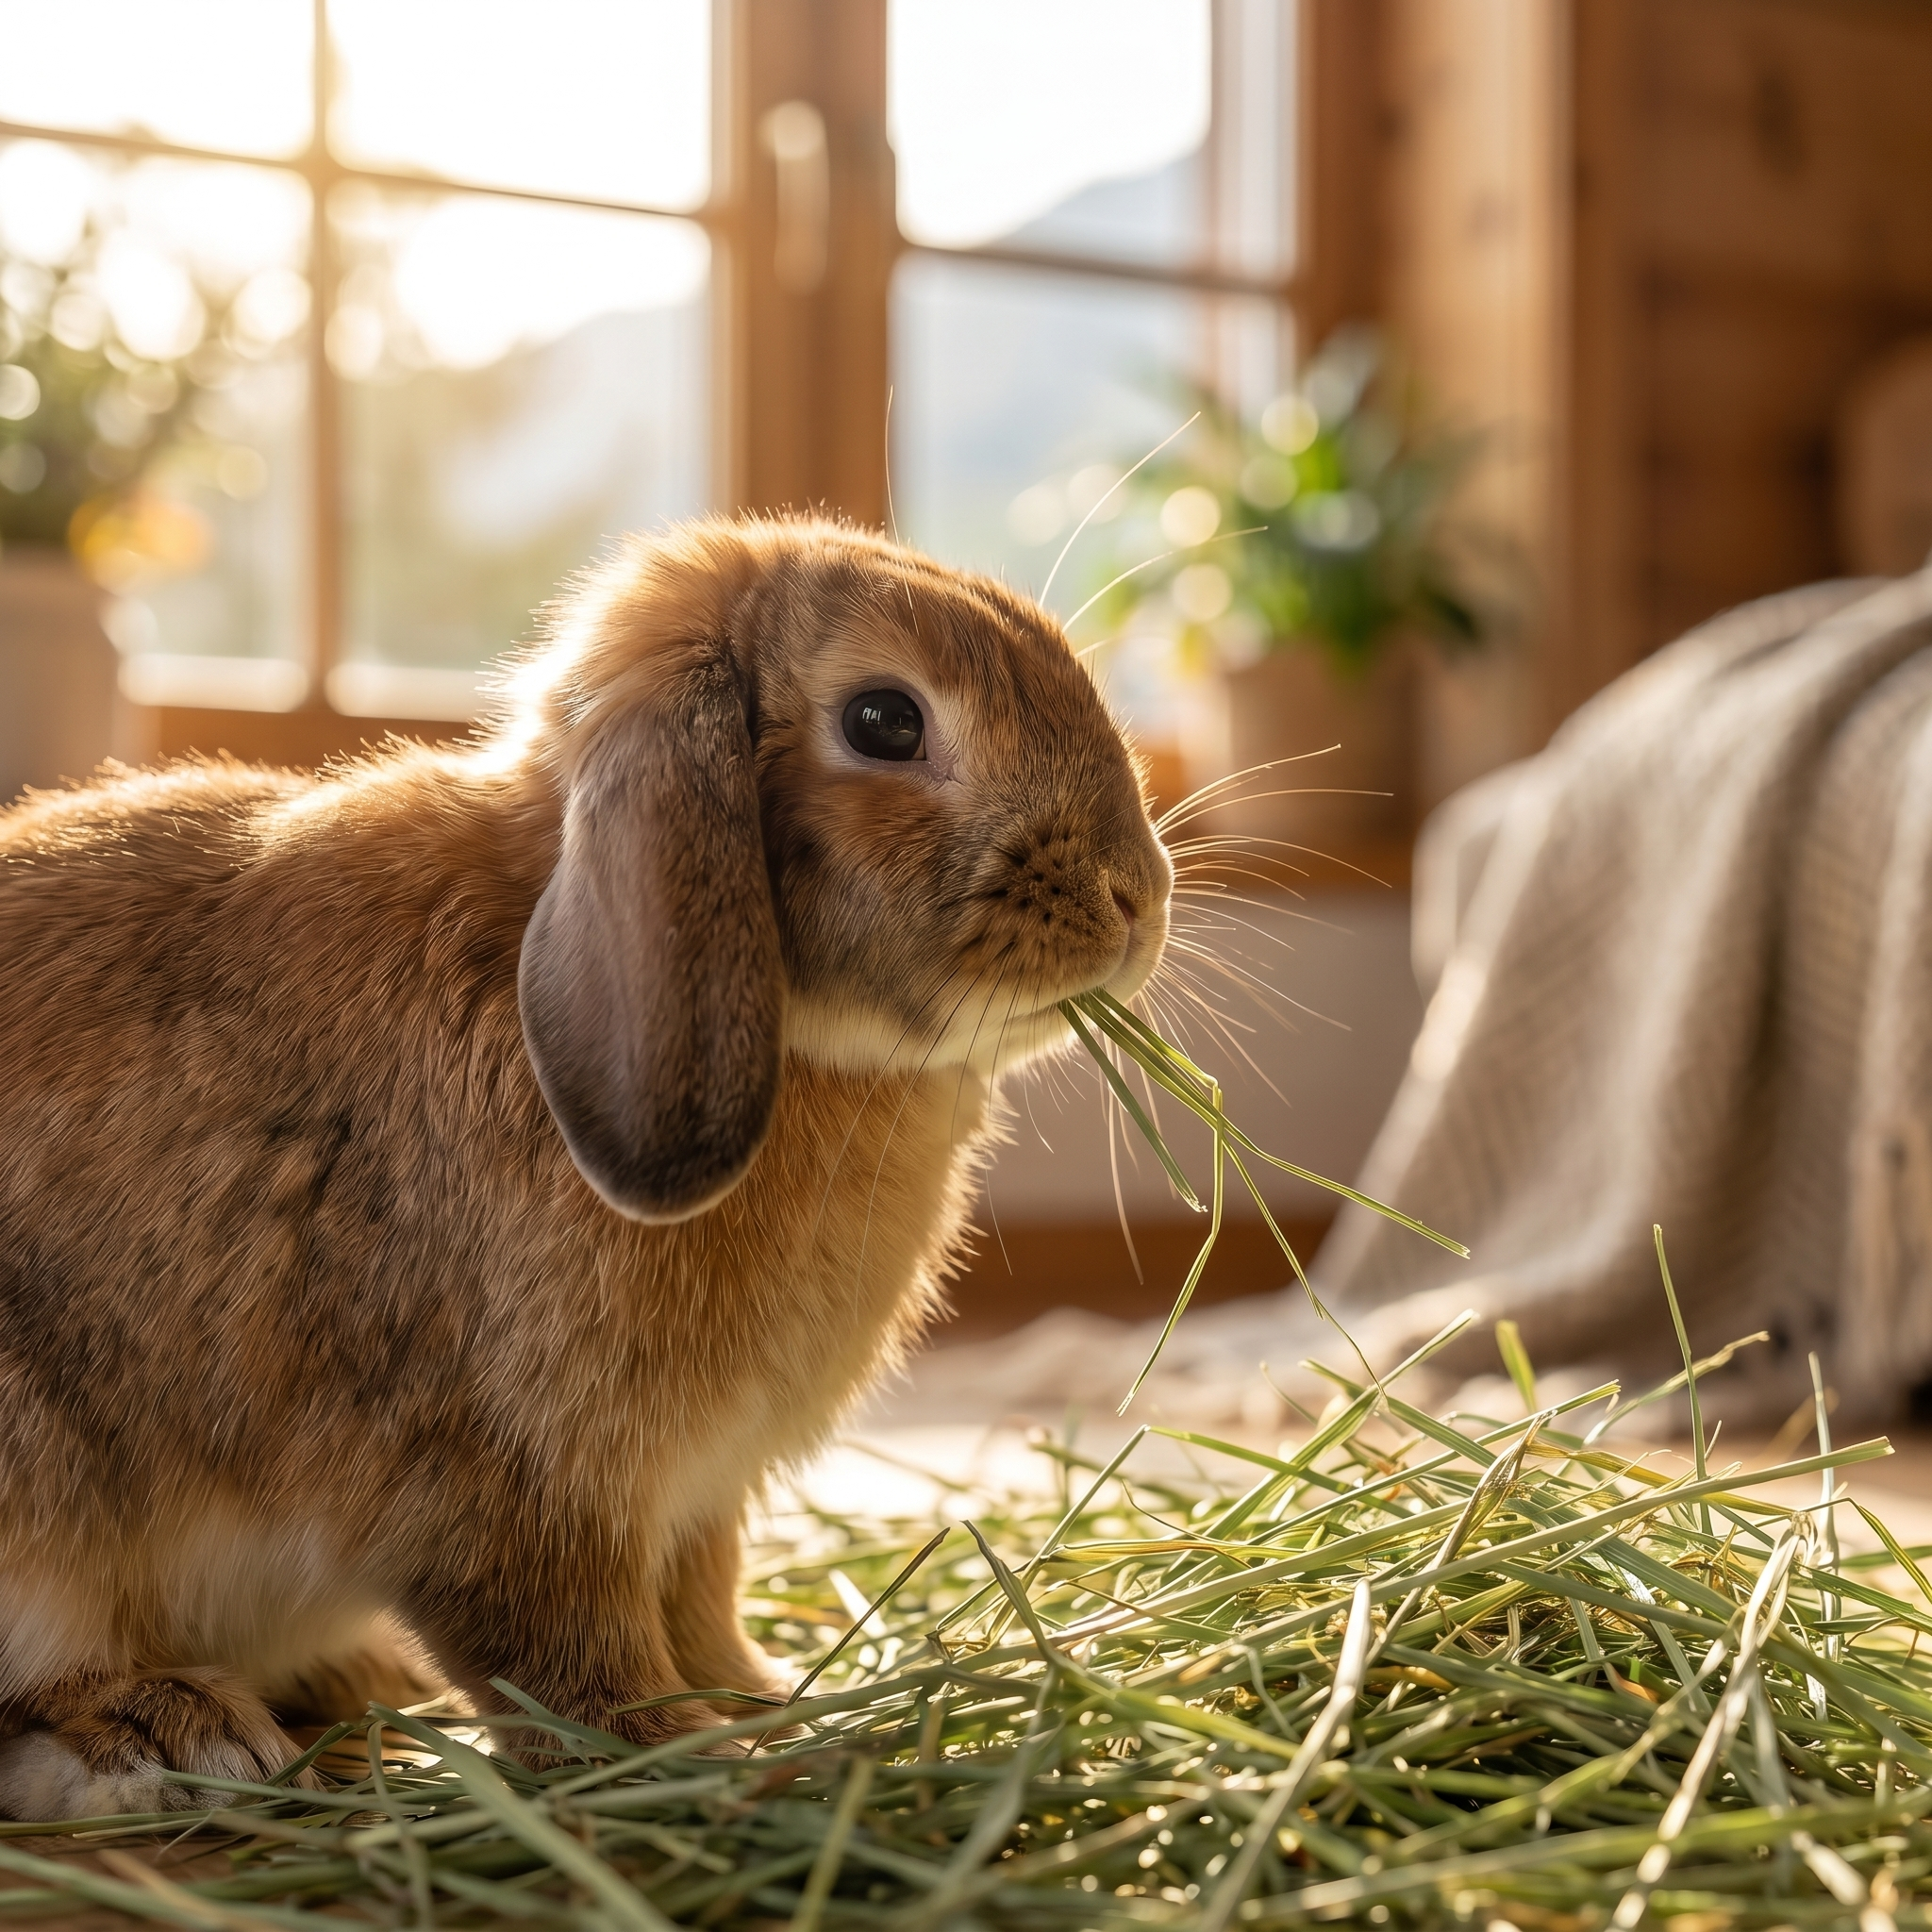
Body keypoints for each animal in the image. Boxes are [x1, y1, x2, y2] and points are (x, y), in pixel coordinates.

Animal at [0, 515, 1172, 1819]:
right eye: (883, 720)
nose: (1137, 894)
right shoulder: (515, 1477)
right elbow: (562, 1648)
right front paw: (685, 1751)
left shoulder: (695, 1500)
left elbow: (698, 1607)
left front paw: (765, 1703)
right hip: (35, 1483)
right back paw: (167, 1730)